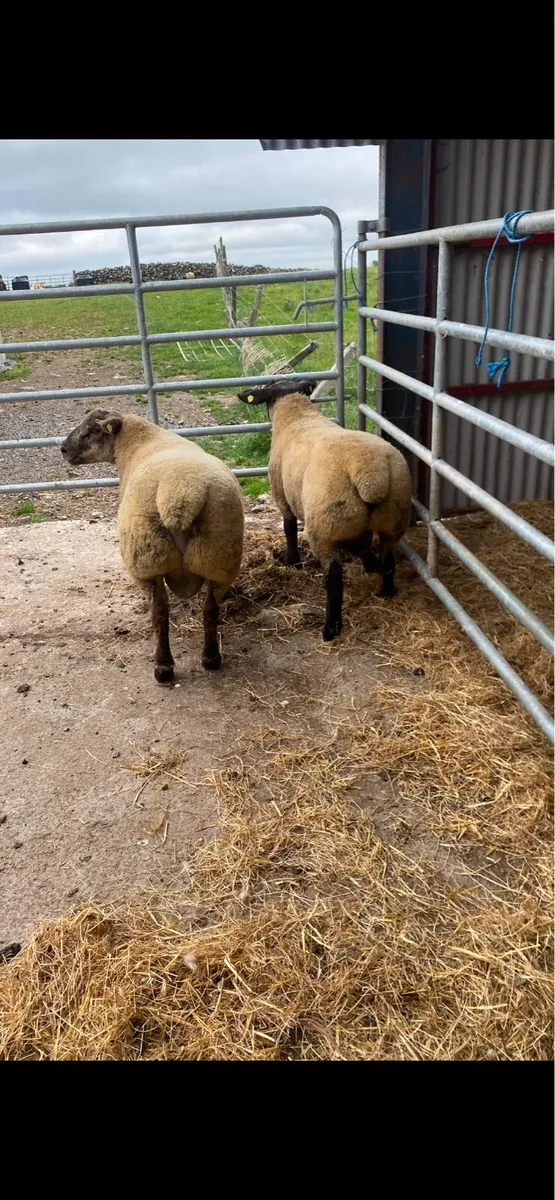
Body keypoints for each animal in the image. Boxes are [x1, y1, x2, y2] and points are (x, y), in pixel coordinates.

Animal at [61, 410, 244, 683]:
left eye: (93, 430)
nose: (63, 449)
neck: (137, 442)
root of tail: (179, 496)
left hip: (146, 557)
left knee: (159, 611)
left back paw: (163, 666)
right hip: (218, 553)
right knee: (210, 608)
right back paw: (211, 658)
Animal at [237, 379, 412, 642]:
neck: (296, 417)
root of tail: (371, 475)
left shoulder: (282, 497)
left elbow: (289, 528)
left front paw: (293, 562)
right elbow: (362, 546)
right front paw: (370, 564)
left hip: (324, 526)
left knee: (334, 580)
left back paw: (330, 629)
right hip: (391, 520)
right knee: (388, 559)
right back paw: (386, 591)